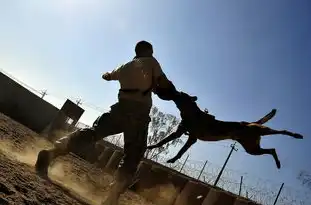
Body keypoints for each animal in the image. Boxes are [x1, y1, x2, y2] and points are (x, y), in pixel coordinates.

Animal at [149, 92, 304, 169]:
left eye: (180, 94)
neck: (192, 113)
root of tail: (252, 123)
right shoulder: (179, 133)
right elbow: (163, 142)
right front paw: (151, 147)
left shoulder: (192, 138)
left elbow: (181, 150)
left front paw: (172, 159)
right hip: (252, 149)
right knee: (271, 149)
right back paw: (277, 163)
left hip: (262, 132)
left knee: (281, 131)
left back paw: (296, 135)